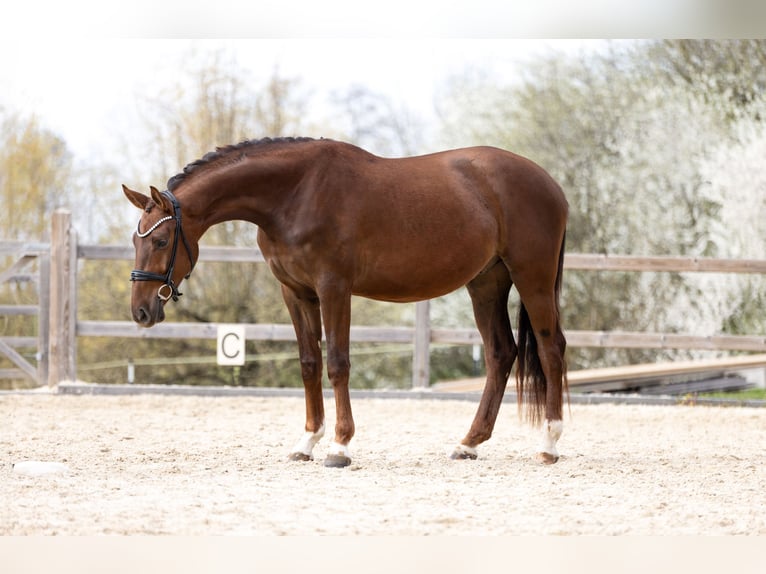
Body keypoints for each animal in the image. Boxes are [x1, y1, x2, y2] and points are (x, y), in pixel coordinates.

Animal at [123, 137, 569, 467]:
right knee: (501, 353)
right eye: (136, 240)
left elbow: (338, 363)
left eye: (160, 240)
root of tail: (551, 184)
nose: (141, 311)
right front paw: (307, 442)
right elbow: (309, 362)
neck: (295, 193)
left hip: (533, 278)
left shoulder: (333, 288)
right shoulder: (295, 292)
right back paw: (469, 443)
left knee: (551, 349)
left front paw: (339, 447)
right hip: (486, 284)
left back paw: (549, 444)